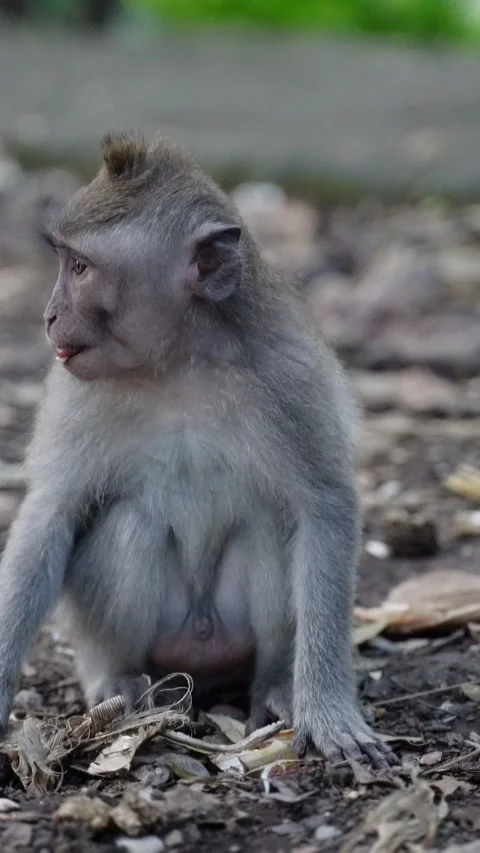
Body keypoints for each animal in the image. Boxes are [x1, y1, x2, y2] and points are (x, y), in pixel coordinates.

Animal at [0, 133, 395, 768]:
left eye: (79, 268)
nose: (49, 315)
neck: (177, 363)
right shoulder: (74, 390)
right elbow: (49, 515)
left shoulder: (288, 376)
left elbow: (324, 508)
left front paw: (328, 711)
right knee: (131, 526)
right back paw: (119, 682)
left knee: (268, 528)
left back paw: (275, 684)